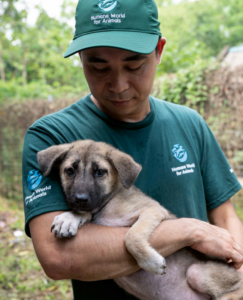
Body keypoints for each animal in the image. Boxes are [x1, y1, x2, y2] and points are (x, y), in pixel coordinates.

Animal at [37, 141, 243, 300]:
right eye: (69, 171)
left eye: (100, 172)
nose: (80, 199)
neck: (108, 203)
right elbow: (86, 214)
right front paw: (69, 218)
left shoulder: (153, 210)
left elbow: (131, 236)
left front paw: (151, 262)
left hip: (198, 274)